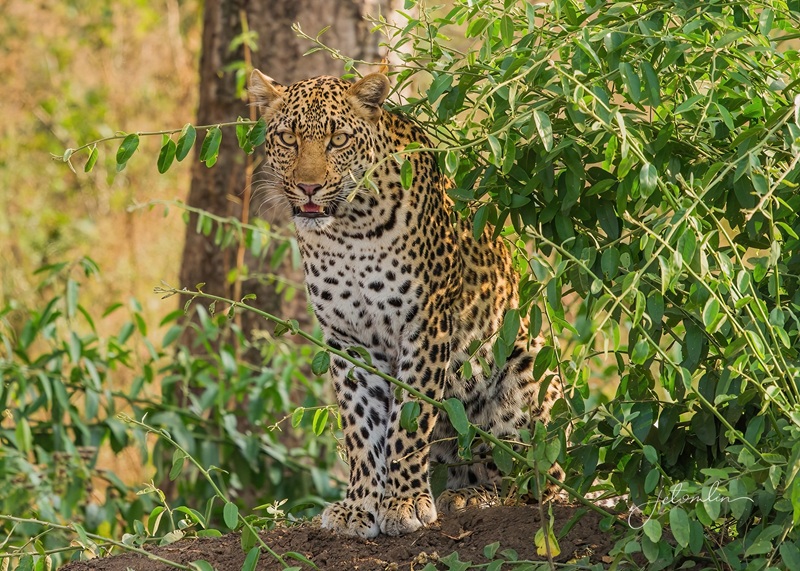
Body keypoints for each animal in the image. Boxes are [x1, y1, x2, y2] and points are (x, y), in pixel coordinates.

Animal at [249, 70, 563, 538]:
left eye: (338, 140)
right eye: (289, 138)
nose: (309, 187)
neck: (348, 232)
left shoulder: (425, 323)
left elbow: (409, 420)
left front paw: (403, 502)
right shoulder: (348, 337)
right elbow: (362, 427)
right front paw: (360, 505)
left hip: (527, 375)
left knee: (533, 477)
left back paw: (473, 496)